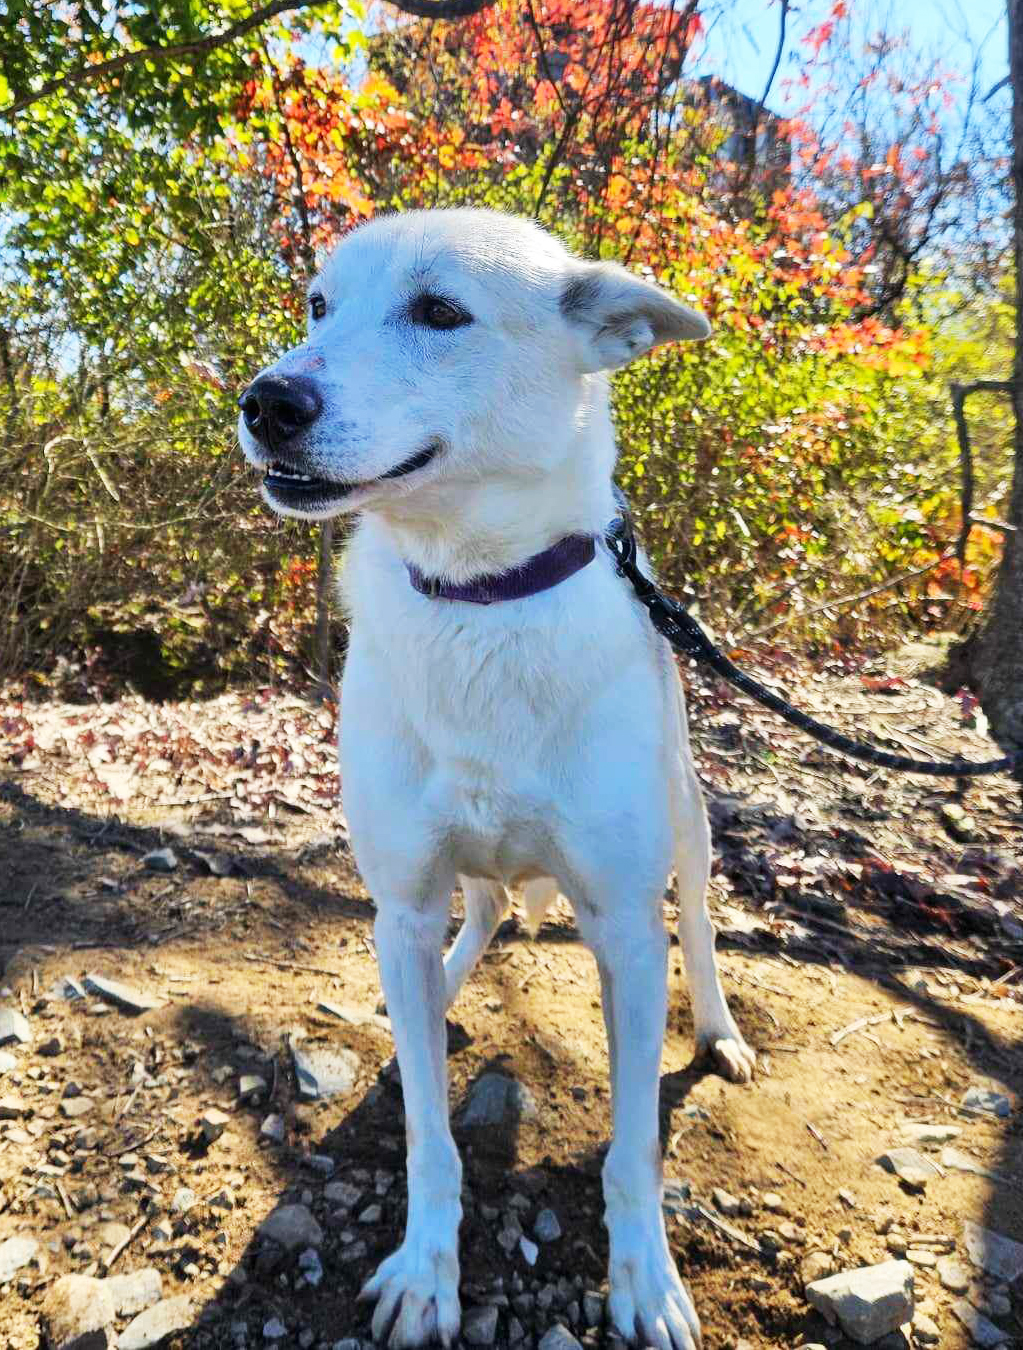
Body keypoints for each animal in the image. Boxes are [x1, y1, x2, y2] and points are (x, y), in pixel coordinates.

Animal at [238, 207, 755, 1350]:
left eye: (440, 313)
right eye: (318, 306)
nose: (265, 400)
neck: (477, 595)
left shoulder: (624, 927)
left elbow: (631, 1150)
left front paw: (644, 1280)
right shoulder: (401, 896)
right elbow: (429, 1140)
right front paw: (426, 1275)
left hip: (689, 830)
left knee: (699, 927)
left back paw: (720, 1031)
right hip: (446, 883)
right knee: (471, 920)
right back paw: (439, 991)